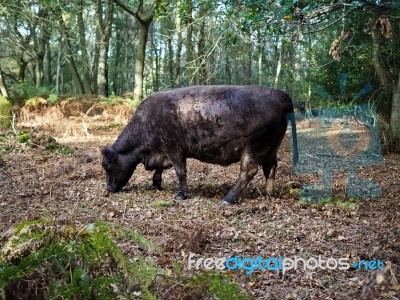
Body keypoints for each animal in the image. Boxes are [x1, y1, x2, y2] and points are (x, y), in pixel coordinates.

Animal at [102, 85, 296, 205]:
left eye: (107, 165)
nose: (109, 189)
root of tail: (282, 95)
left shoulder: (174, 149)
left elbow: (180, 171)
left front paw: (181, 194)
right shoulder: (162, 152)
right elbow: (160, 169)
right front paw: (155, 184)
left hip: (253, 149)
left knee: (248, 171)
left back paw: (229, 198)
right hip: (271, 148)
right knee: (270, 167)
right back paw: (268, 193)